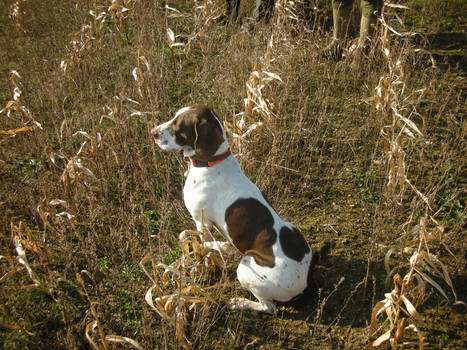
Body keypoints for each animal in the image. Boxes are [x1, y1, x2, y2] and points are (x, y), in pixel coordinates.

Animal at [153, 104, 314, 314]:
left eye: (178, 127)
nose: (153, 132)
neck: (211, 161)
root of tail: (303, 284)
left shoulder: (201, 222)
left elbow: (200, 246)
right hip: (292, 227)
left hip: (246, 267)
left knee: (269, 307)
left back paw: (238, 302)